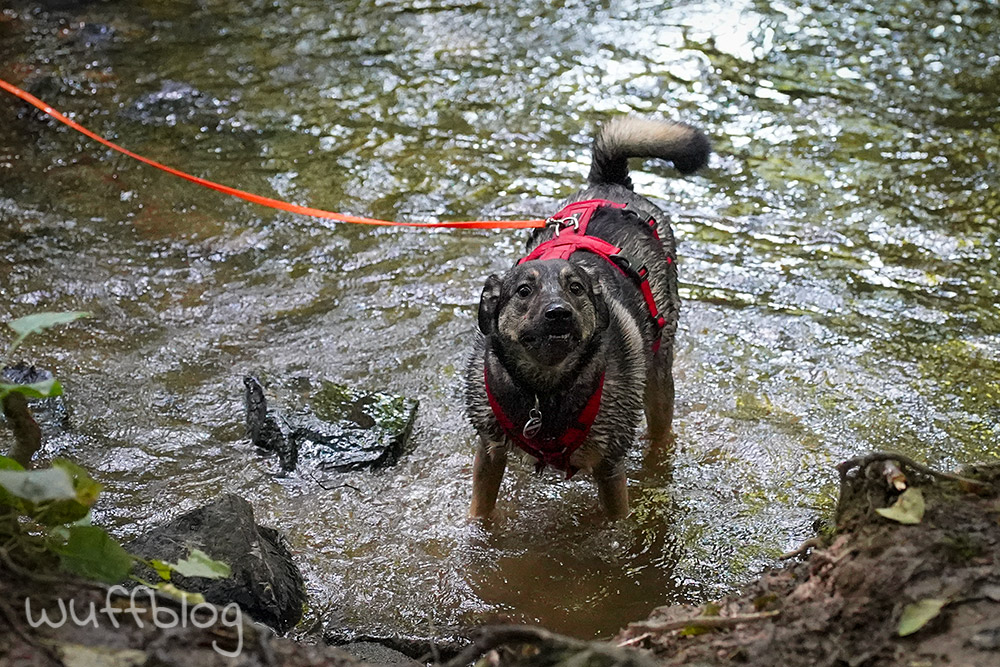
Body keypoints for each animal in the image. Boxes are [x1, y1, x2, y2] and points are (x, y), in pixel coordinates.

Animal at [462, 117, 708, 520]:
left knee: (660, 429)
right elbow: (480, 511)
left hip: (659, 374)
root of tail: (609, 183)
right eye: (524, 291)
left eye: (576, 288)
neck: (545, 391)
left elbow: (616, 523)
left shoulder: (609, 466)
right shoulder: (490, 449)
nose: (558, 313)